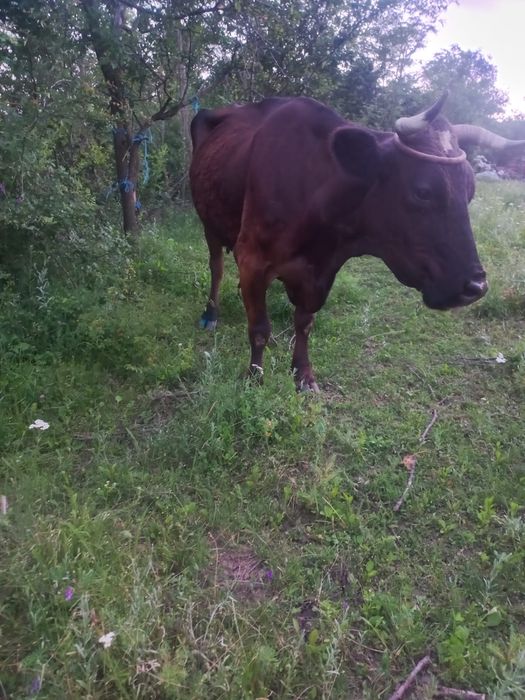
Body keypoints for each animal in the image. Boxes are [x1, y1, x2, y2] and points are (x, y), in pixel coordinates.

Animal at [189, 94, 525, 391]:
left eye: (471, 190)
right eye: (423, 191)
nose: (476, 287)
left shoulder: (320, 271)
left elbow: (304, 322)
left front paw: (303, 375)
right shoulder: (252, 258)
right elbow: (259, 328)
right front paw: (254, 378)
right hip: (208, 222)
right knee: (216, 268)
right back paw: (210, 315)